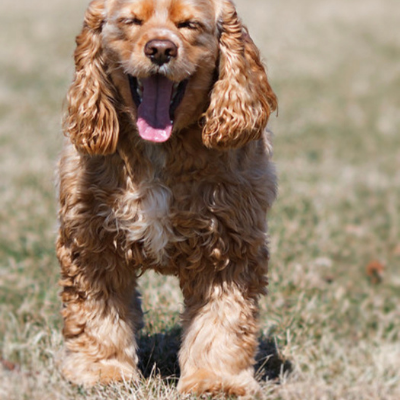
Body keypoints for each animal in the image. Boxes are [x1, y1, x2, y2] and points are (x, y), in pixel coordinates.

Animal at [56, 0, 276, 396]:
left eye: (188, 25)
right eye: (132, 20)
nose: (160, 49)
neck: (159, 148)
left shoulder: (229, 246)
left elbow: (222, 320)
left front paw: (215, 380)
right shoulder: (90, 240)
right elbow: (96, 314)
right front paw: (102, 371)